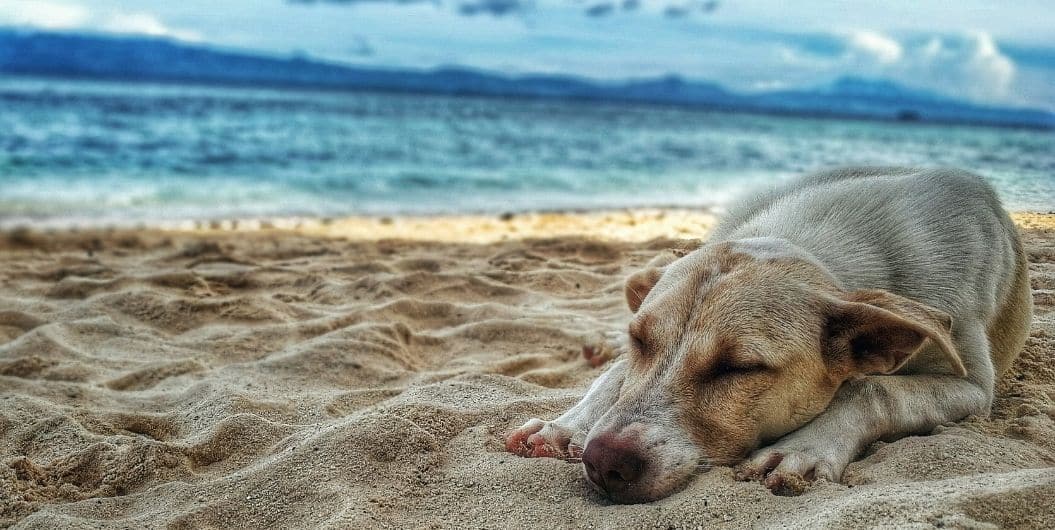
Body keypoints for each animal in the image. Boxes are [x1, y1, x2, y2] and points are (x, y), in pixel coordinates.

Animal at [502, 167, 1029, 502]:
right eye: (639, 342)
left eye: (739, 367)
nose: (603, 462)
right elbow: (614, 378)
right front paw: (568, 424)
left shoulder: (972, 386)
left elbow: (872, 387)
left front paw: (804, 448)